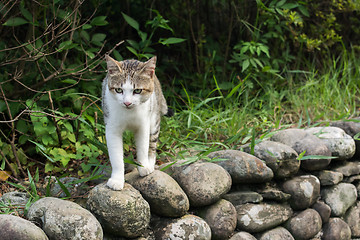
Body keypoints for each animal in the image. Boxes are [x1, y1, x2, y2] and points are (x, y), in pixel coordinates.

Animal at [102, 55, 168, 190]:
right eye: (118, 90)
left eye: (137, 90)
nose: (127, 103)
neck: (129, 113)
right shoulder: (112, 127)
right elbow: (116, 156)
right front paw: (117, 179)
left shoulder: (143, 124)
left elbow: (143, 147)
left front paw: (143, 167)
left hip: (154, 117)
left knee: (152, 144)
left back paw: (150, 163)